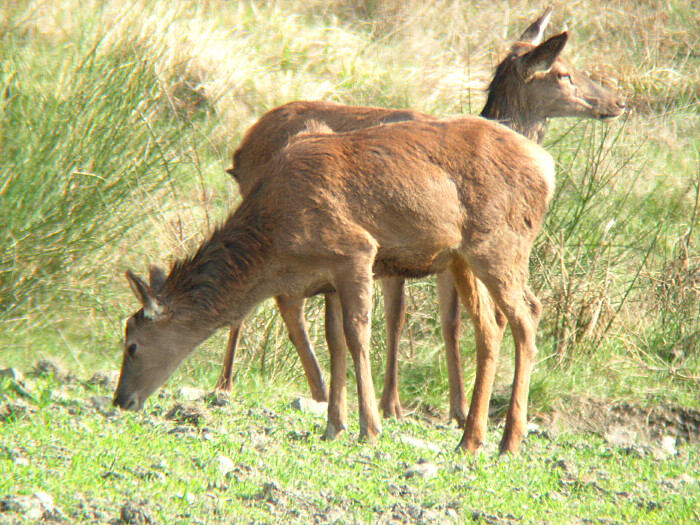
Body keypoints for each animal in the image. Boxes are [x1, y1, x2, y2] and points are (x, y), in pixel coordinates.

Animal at [115, 115, 556, 454]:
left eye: (132, 345)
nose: (121, 400)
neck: (276, 248)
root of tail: (548, 167)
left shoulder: (355, 250)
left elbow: (358, 336)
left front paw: (370, 428)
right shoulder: (327, 278)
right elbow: (334, 342)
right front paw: (333, 425)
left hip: (500, 244)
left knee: (527, 315)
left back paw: (508, 442)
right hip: (460, 257)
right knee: (491, 326)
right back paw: (470, 440)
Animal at [212, 6, 624, 438]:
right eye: (562, 71)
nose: (617, 100)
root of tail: (239, 153)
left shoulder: (443, 258)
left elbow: (451, 321)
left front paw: (457, 409)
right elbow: (399, 320)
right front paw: (393, 406)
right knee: (278, 297)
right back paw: (263, 386)